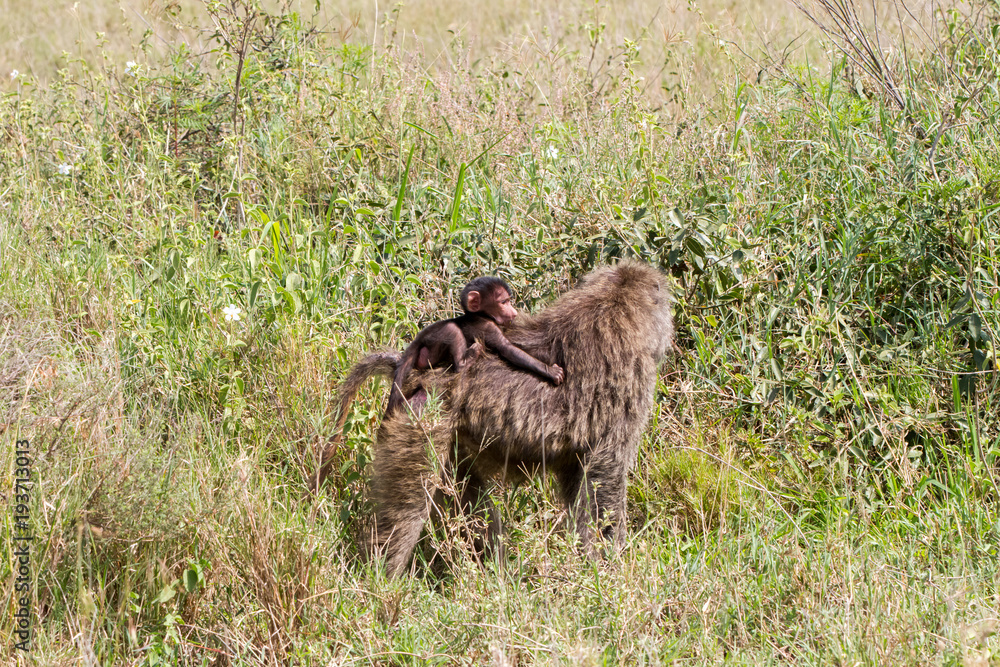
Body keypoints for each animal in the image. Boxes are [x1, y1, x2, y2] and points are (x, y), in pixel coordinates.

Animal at [384, 276, 564, 417]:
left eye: (508, 301)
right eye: (504, 302)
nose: (514, 312)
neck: (479, 314)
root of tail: (420, 337)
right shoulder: (487, 327)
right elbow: (508, 349)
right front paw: (550, 371)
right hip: (432, 345)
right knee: (452, 330)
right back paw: (466, 360)